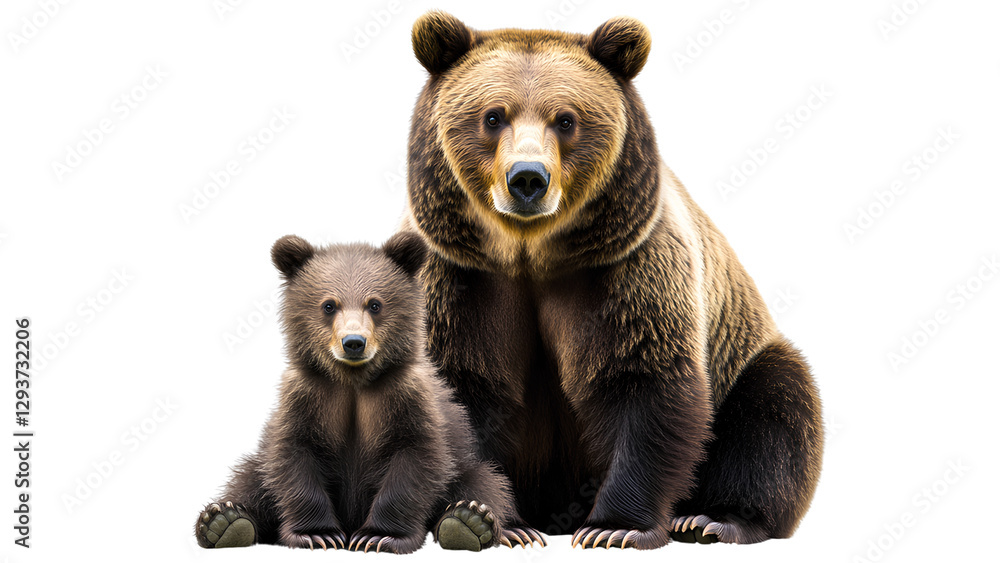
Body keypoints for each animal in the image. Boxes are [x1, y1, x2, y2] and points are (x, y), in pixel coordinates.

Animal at [194, 232, 544, 553]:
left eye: (375, 304)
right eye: (329, 305)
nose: (353, 342)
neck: (353, 382)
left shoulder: (406, 400)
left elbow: (415, 460)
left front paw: (378, 536)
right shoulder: (308, 399)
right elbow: (295, 458)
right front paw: (318, 534)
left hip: (468, 461)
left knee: (486, 483)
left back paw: (474, 523)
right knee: (250, 477)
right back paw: (225, 521)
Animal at [401, 12, 824, 549]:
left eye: (566, 119)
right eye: (493, 116)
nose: (527, 178)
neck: (529, 254)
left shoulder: (627, 268)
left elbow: (642, 381)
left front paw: (615, 526)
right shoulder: (461, 276)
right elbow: (464, 389)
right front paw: (480, 518)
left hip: (742, 354)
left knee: (774, 410)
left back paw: (715, 519)